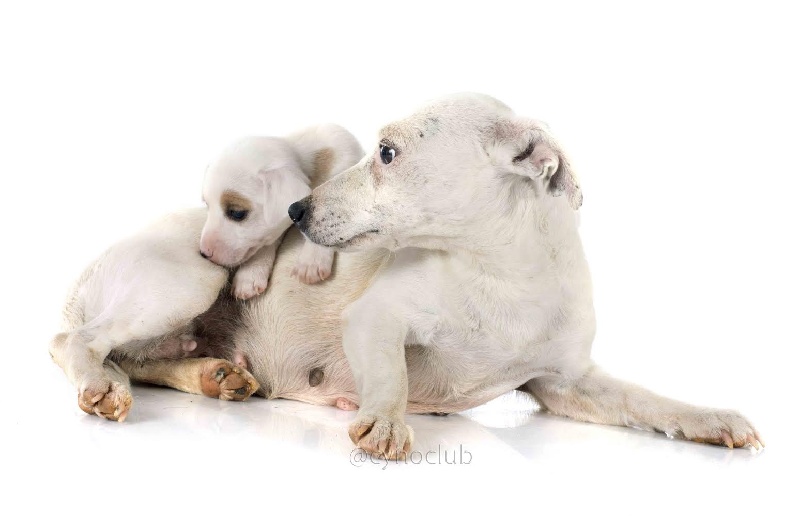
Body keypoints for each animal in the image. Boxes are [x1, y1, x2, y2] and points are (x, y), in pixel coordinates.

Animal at [200, 124, 362, 298]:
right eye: (207, 205)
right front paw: (249, 275)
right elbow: (266, 242)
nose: (203, 253)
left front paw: (311, 260)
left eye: (237, 213)